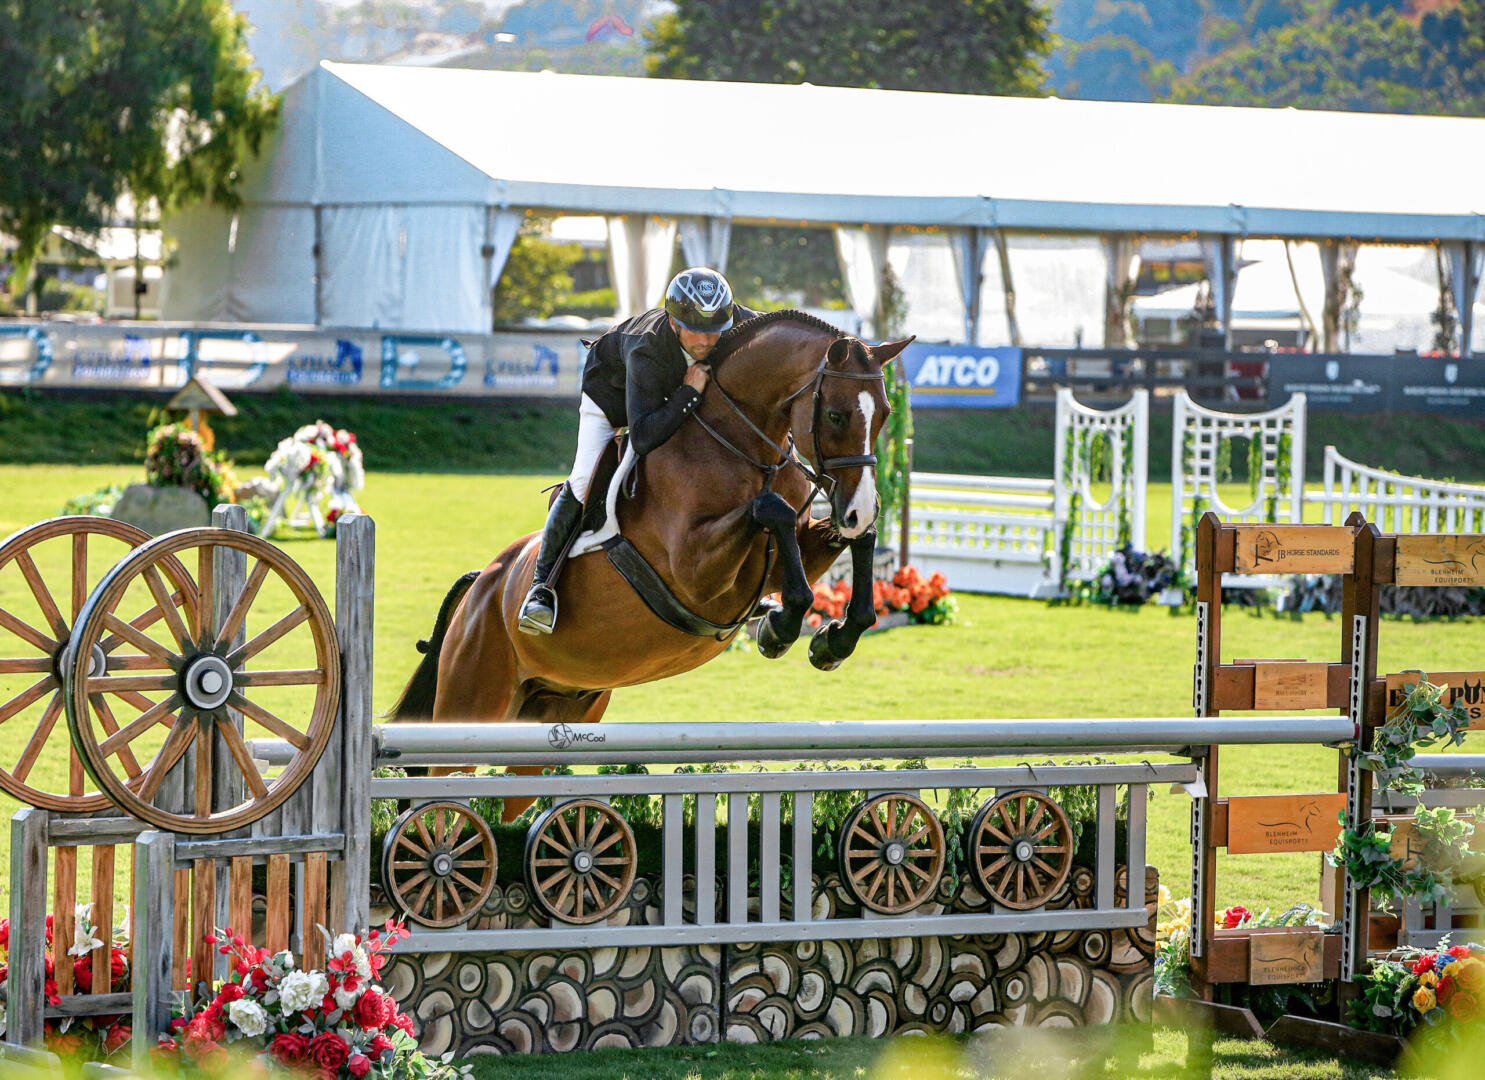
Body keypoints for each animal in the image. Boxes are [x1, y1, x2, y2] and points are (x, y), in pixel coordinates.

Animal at [389, 311, 908, 820]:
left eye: (884, 414)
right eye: (836, 415)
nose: (859, 508)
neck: (741, 445)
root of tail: (483, 584)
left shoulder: (786, 555)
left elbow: (847, 543)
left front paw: (831, 640)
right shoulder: (696, 570)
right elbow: (771, 510)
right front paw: (778, 629)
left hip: (549, 722)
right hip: (471, 704)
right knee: (440, 796)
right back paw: (538, 604)